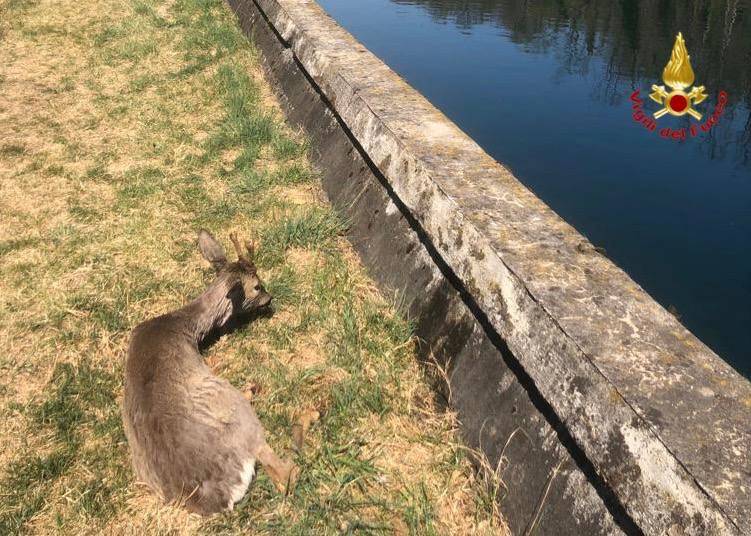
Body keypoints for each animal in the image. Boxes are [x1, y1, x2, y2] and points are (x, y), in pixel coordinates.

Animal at [122, 229, 298, 516]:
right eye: (257, 285)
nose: (270, 298)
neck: (180, 326)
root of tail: (216, 499)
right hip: (240, 416)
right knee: (283, 471)